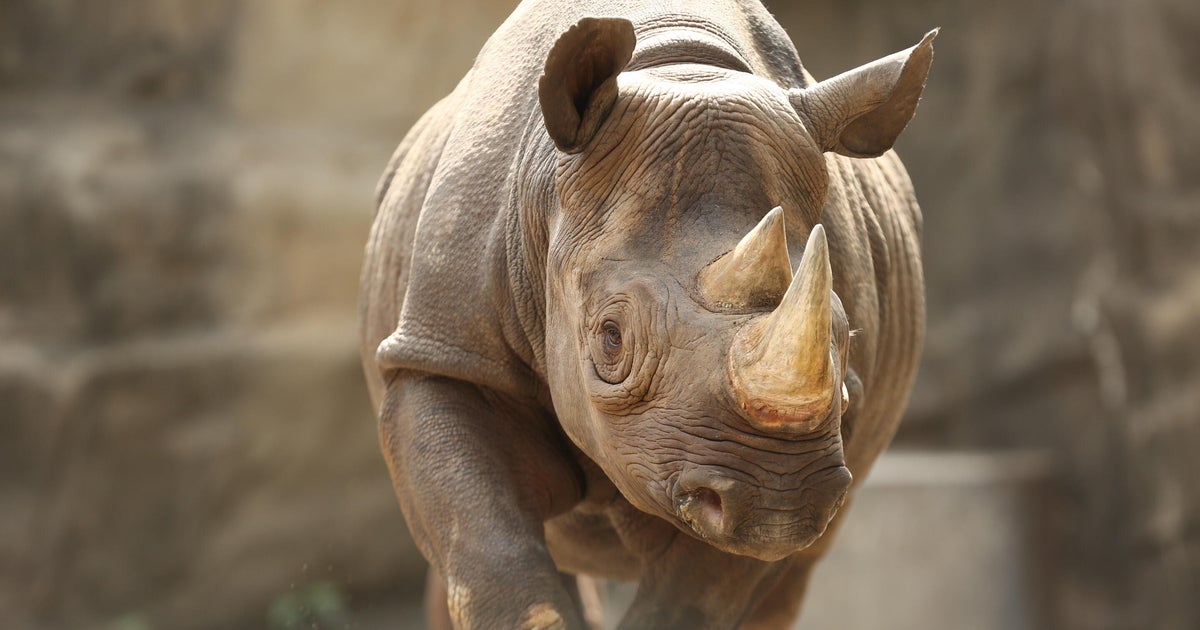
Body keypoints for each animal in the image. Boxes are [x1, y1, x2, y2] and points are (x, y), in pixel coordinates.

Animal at [359, 0, 934, 627]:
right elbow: (490, 554)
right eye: (611, 338)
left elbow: (699, 593)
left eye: (845, 335)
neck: (677, 67)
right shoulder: (444, 354)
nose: (780, 497)